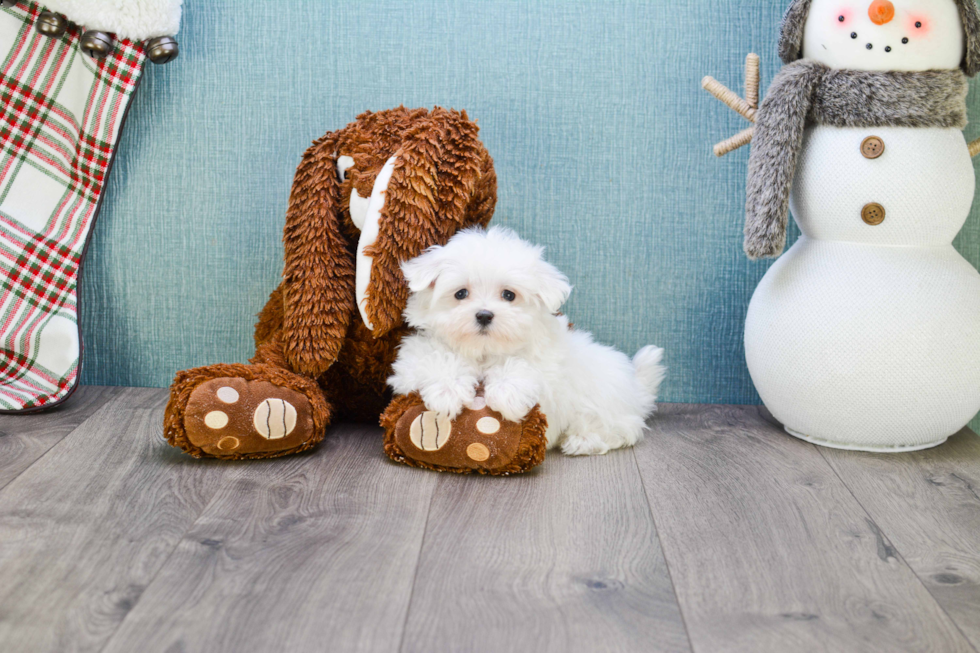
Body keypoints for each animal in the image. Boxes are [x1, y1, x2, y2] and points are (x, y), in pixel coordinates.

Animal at [388, 227, 668, 456]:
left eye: (509, 295)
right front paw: (447, 392)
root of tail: (637, 390)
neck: (483, 352)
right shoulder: (411, 361)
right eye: (461, 293)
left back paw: (582, 440)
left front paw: (507, 394)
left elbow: (525, 367)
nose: (484, 315)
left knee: (623, 429)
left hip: (603, 403)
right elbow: (436, 357)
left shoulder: (548, 369)